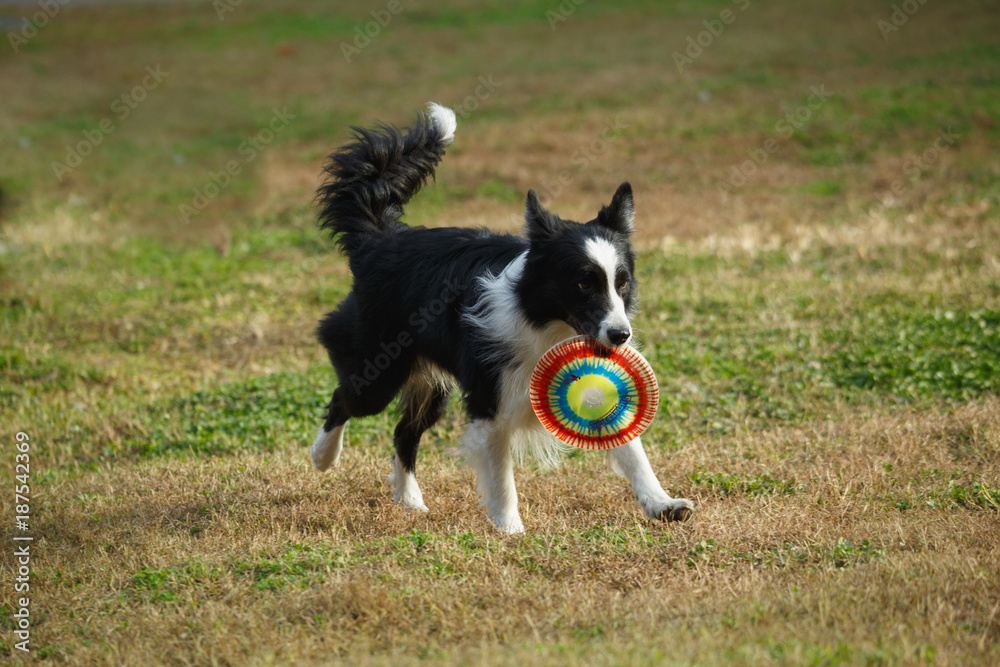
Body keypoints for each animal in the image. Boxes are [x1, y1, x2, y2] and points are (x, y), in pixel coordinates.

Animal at [308, 103, 692, 532]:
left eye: (622, 283)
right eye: (583, 284)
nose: (620, 335)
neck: (543, 322)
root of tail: (380, 240)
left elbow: (631, 449)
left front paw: (662, 503)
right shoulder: (489, 399)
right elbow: (502, 474)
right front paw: (510, 529)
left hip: (433, 387)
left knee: (403, 432)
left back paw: (409, 500)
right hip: (379, 370)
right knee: (345, 399)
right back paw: (323, 456)